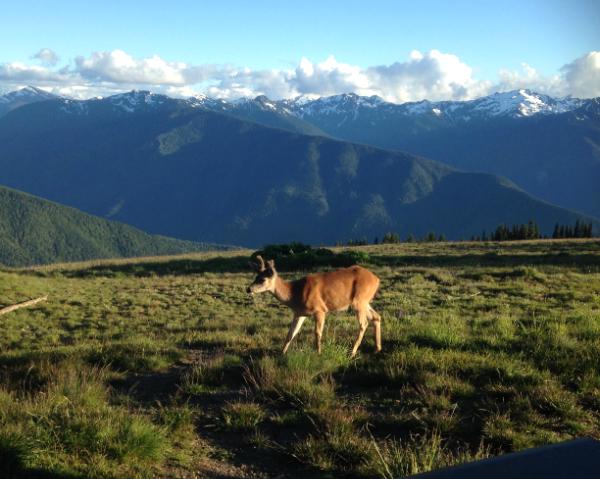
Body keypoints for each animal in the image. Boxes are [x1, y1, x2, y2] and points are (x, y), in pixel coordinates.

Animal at [246, 258, 382, 356]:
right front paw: (282, 353)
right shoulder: (299, 313)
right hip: (365, 301)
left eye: (262, 279)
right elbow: (291, 333)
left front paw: (318, 353)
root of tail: (377, 279)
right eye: (255, 277)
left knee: (364, 323)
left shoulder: (320, 309)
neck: (295, 294)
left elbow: (317, 332)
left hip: (359, 300)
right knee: (376, 317)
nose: (248, 289)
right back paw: (377, 349)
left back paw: (352, 352)